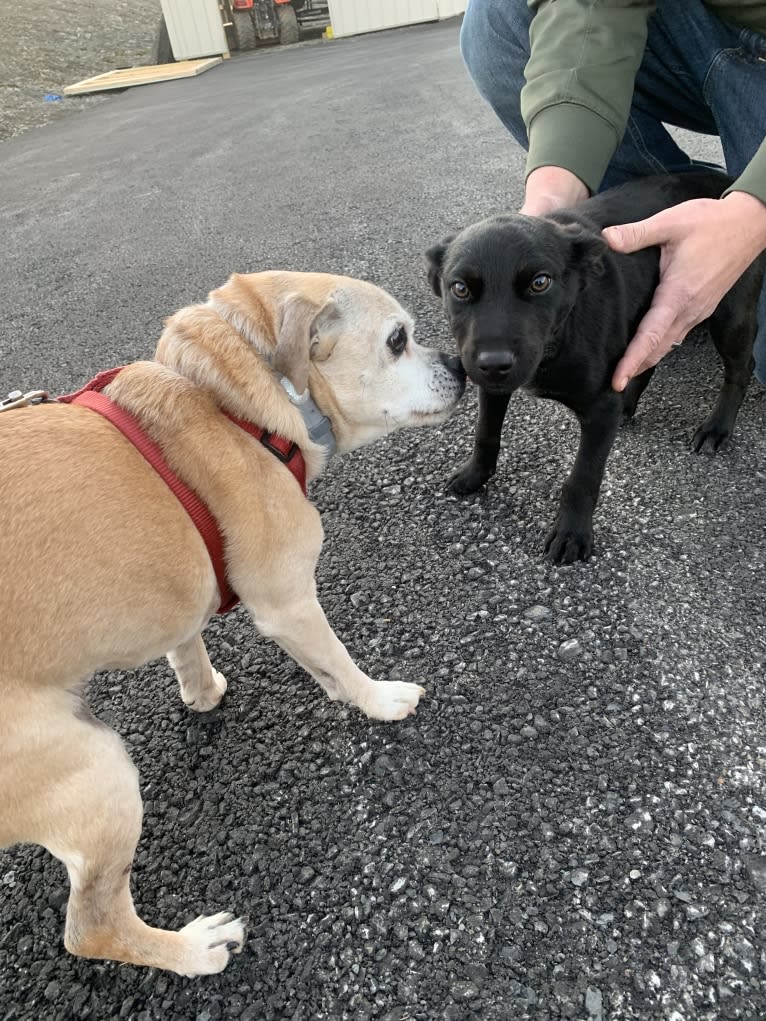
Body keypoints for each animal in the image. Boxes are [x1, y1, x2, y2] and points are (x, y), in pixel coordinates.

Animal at [0, 271, 465, 971]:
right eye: (397, 340)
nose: (463, 365)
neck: (236, 405)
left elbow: (189, 641)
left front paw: (202, 690)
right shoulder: (288, 599)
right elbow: (339, 661)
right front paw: (378, 699)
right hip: (95, 768)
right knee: (92, 926)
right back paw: (195, 949)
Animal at [428, 170, 763, 563]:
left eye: (540, 282)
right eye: (460, 289)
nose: (494, 363)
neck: (559, 337)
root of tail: (723, 177)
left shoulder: (600, 408)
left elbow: (583, 478)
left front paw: (572, 533)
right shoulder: (493, 386)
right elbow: (485, 432)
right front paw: (474, 474)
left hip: (728, 310)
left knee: (740, 369)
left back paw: (716, 428)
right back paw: (629, 401)